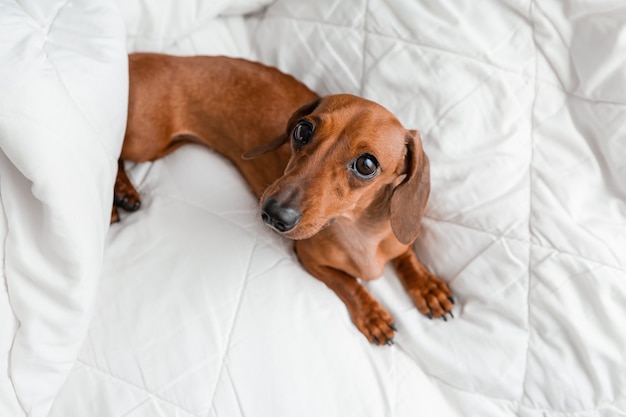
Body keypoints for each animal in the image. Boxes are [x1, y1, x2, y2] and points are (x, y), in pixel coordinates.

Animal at [114, 52, 450, 344]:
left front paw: (427, 287)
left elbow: (406, 255)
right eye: (303, 130)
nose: (274, 214)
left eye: (367, 165)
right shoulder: (310, 260)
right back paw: (121, 194)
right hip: (145, 142)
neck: (359, 232)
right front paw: (372, 315)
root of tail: (135, 56)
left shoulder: (397, 239)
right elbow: (349, 283)